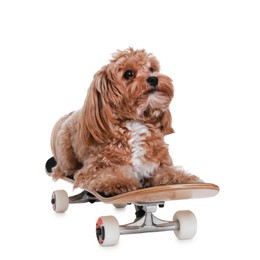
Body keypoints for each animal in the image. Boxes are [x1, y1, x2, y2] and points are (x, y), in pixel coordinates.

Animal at [50, 48, 201, 195]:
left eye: (152, 69)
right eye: (128, 73)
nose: (153, 79)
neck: (135, 122)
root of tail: (70, 114)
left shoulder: (156, 164)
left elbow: (167, 172)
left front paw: (184, 177)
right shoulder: (92, 169)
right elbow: (107, 174)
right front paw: (118, 182)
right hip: (65, 149)